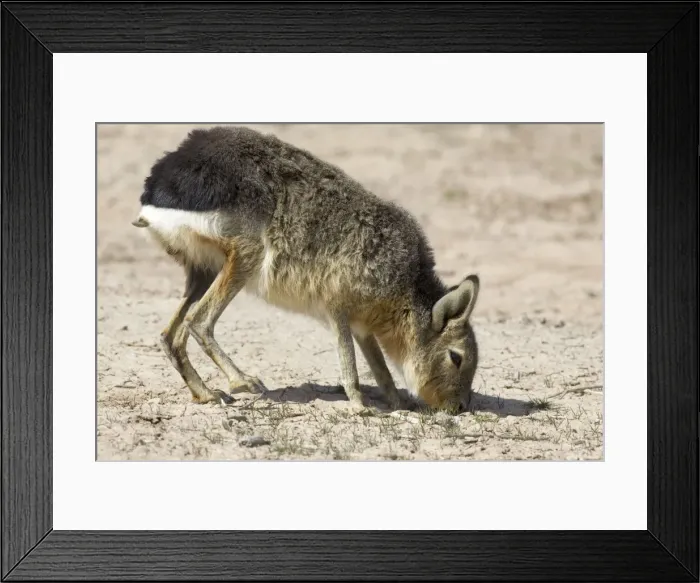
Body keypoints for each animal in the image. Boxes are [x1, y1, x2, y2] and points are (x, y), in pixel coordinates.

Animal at [132, 126, 480, 413]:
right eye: (456, 357)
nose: (460, 408)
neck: (405, 283)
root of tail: (160, 184)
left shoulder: (363, 328)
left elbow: (382, 371)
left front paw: (397, 404)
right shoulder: (338, 309)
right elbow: (351, 367)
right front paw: (360, 407)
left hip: (204, 271)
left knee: (170, 336)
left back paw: (206, 392)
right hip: (246, 257)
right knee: (199, 323)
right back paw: (241, 382)